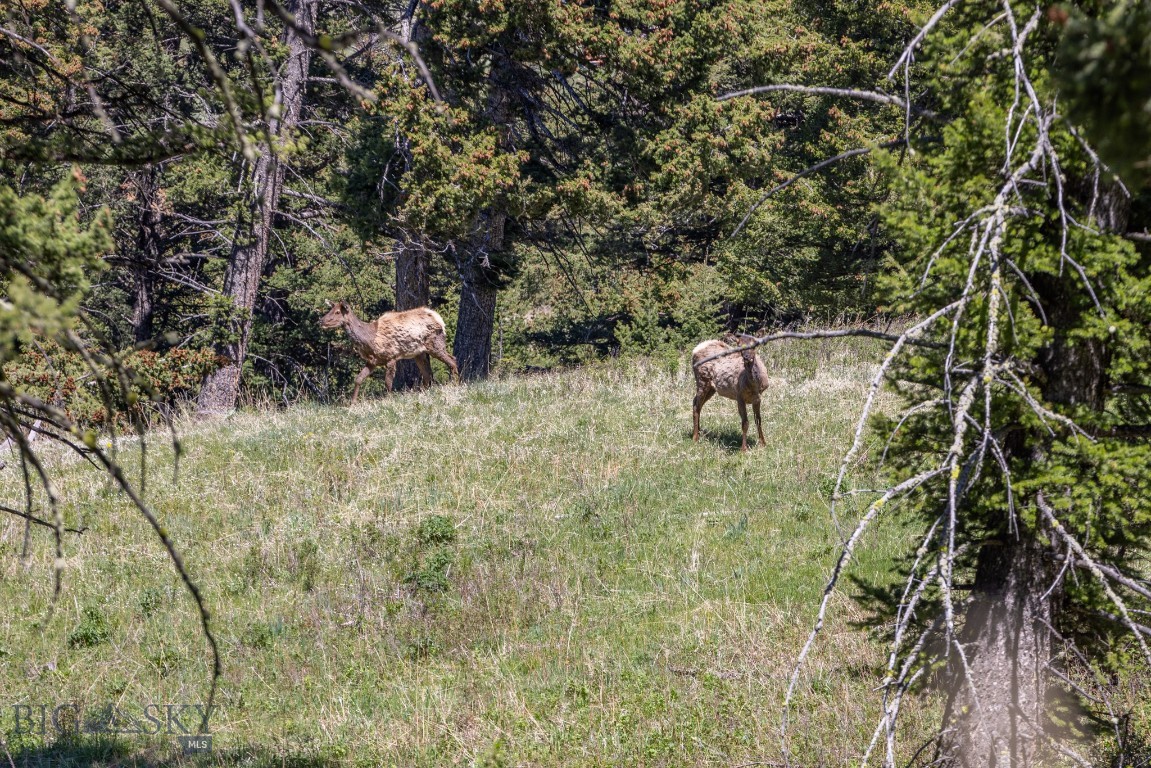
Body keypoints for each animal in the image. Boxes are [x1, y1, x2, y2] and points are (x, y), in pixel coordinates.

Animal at [319, 301, 460, 404]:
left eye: (337, 312)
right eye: (330, 310)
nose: (321, 320)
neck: (370, 339)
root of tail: (439, 319)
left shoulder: (391, 355)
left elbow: (388, 381)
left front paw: (389, 399)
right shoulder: (372, 361)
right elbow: (358, 379)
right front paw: (352, 403)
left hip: (435, 344)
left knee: (452, 360)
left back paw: (455, 385)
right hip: (419, 353)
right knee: (427, 374)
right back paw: (423, 394)